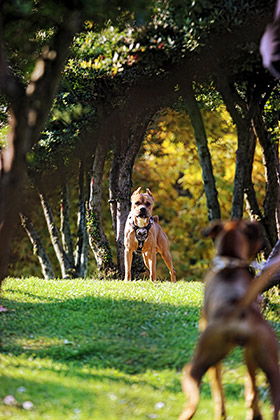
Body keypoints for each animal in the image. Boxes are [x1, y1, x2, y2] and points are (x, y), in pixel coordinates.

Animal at [178, 220, 280, 420]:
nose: (262, 242)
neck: (230, 262)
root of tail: (239, 307)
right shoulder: (250, 354)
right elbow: (251, 383)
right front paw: (253, 407)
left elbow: (217, 385)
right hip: (272, 368)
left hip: (195, 367)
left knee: (192, 403)